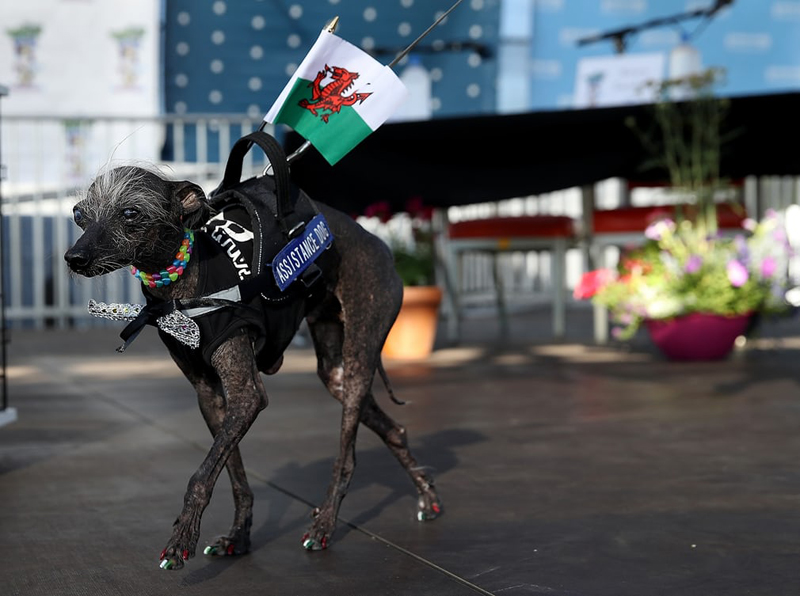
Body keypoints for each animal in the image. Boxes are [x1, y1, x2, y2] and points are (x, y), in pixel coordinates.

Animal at [65, 161, 440, 572]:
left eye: (130, 212)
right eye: (80, 214)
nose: (74, 258)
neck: (183, 285)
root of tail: (378, 243)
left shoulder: (247, 395)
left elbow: (201, 476)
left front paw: (181, 539)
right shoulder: (211, 397)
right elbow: (234, 475)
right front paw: (239, 536)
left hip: (360, 354)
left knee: (347, 458)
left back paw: (325, 523)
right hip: (335, 371)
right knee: (395, 429)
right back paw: (425, 494)